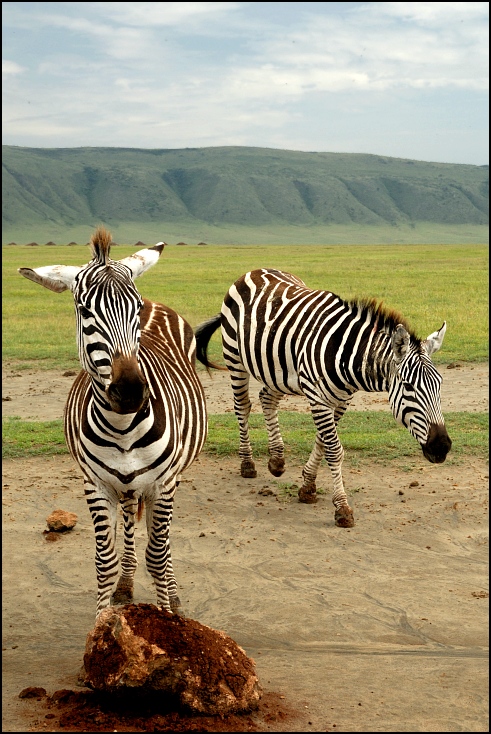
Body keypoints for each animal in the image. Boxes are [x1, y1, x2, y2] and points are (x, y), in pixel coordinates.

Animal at [18, 227, 208, 620]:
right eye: (83, 310)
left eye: (135, 309)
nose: (131, 391)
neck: (122, 427)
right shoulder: (96, 485)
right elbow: (104, 561)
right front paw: (102, 624)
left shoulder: (162, 484)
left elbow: (158, 555)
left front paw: (167, 618)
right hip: (125, 485)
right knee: (130, 521)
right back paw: (126, 583)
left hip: (172, 477)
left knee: (161, 540)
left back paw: (172, 593)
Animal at [196, 270, 454, 528]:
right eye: (409, 387)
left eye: (440, 385)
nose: (442, 446)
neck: (346, 355)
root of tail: (256, 271)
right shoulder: (318, 397)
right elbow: (334, 449)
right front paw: (342, 508)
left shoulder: (341, 400)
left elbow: (322, 441)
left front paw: (307, 486)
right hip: (235, 357)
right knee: (243, 406)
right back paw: (247, 463)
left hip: (279, 372)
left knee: (266, 398)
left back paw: (277, 460)